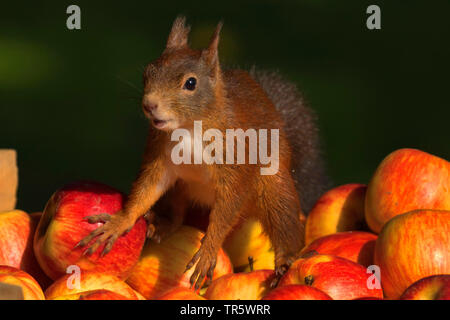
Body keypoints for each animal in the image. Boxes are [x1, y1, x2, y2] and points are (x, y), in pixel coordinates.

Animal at [78, 16, 326, 288]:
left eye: (190, 83)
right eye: (147, 73)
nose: (150, 105)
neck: (189, 127)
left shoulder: (235, 163)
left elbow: (226, 208)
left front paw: (208, 251)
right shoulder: (159, 158)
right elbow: (146, 190)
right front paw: (120, 222)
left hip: (273, 186)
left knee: (283, 221)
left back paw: (285, 262)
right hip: (179, 189)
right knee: (176, 214)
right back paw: (161, 223)